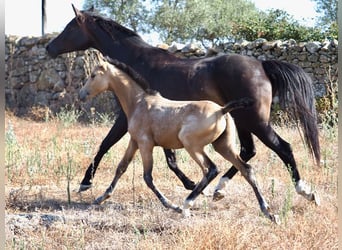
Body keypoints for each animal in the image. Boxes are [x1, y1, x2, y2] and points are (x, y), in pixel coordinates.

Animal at [46, 4, 320, 205]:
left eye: (69, 27)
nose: (49, 47)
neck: (136, 61)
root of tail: (261, 65)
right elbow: (170, 159)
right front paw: (191, 185)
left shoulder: (126, 119)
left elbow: (105, 145)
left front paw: (85, 182)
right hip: (241, 120)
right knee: (247, 152)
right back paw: (219, 189)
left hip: (255, 120)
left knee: (282, 147)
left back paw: (305, 191)